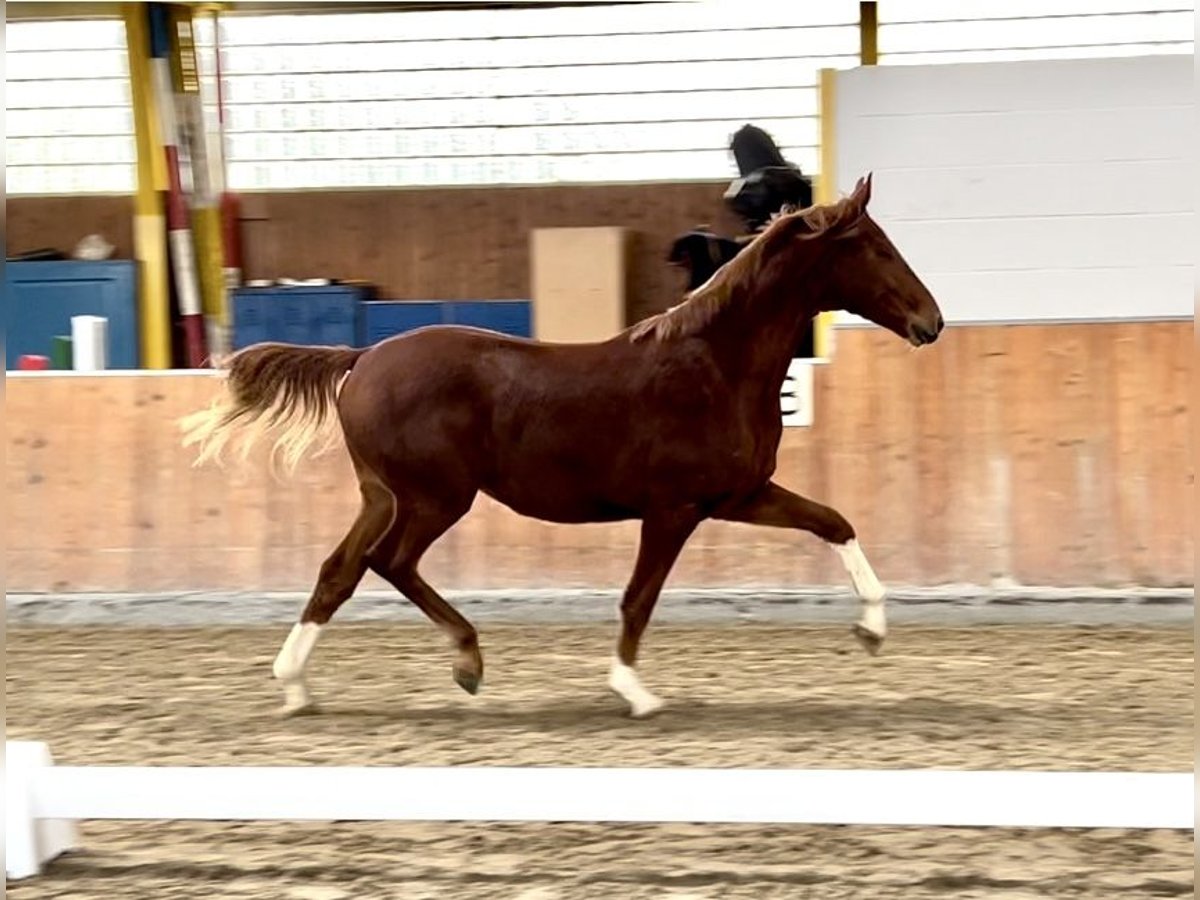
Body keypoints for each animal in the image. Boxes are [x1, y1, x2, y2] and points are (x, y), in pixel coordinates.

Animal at [182, 177, 940, 720]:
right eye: (875, 248)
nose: (930, 322)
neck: (714, 365)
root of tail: (361, 358)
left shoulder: (739, 494)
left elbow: (834, 522)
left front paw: (872, 632)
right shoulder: (674, 509)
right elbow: (639, 597)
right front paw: (634, 692)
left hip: (383, 496)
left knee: (338, 571)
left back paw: (296, 687)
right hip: (434, 499)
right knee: (388, 563)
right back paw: (467, 662)